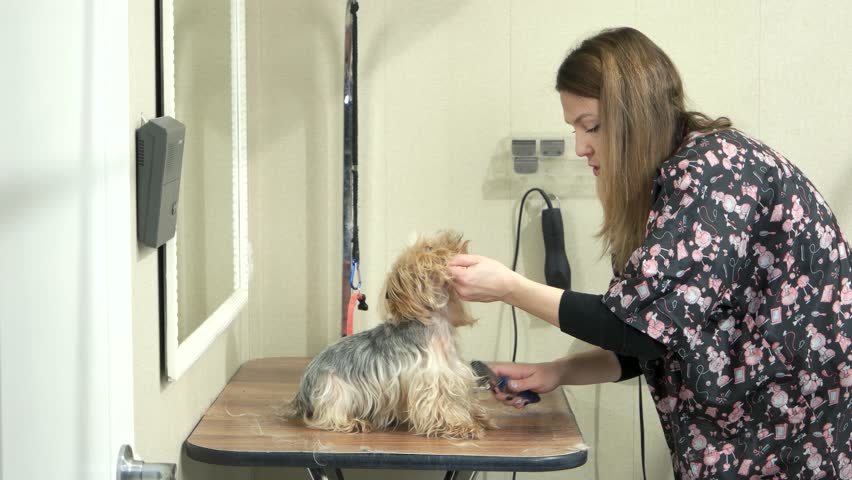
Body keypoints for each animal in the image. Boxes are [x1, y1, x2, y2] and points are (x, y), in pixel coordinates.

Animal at [290, 232, 492, 438]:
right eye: (430, 248)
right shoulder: (432, 380)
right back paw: (355, 423)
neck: (437, 323)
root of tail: (303, 389)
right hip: (335, 389)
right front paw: (462, 426)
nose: (453, 235)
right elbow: (443, 405)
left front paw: (478, 417)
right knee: (330, 414)